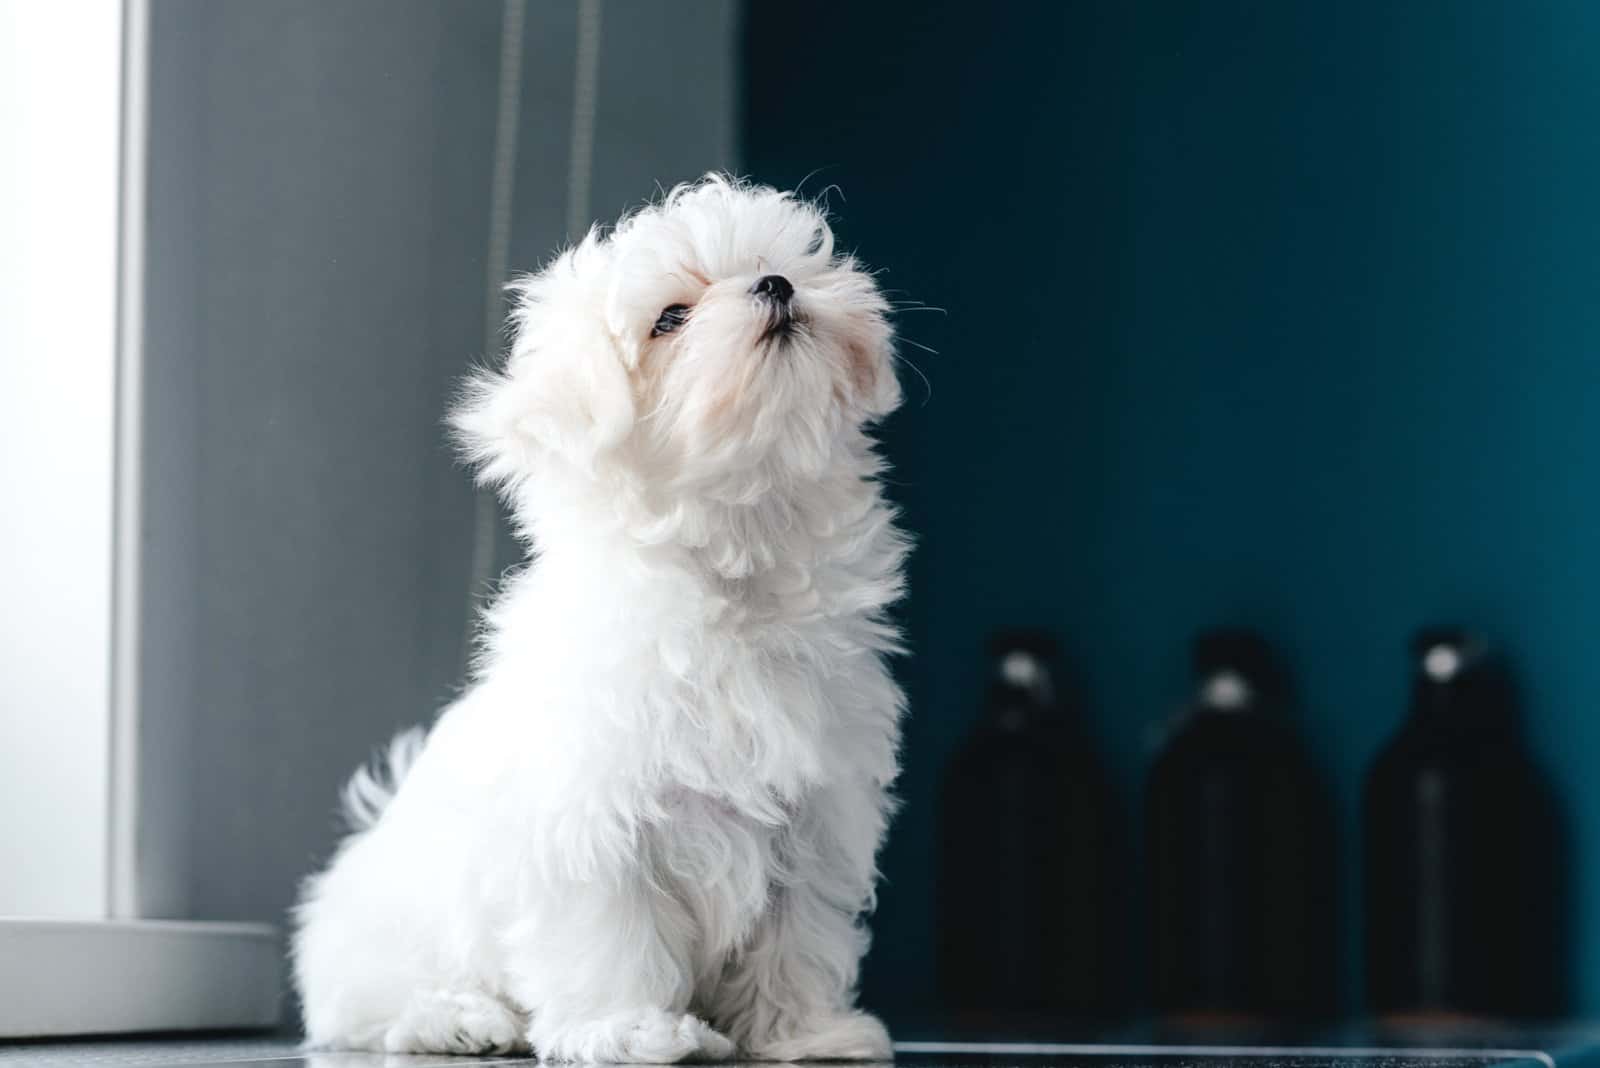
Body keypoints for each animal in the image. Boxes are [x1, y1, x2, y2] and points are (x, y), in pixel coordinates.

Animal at [292, 175, 908, 1061]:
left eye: (781, 263)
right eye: (670, 318)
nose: (776, 286)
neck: (738, 561)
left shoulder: (815, 814)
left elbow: (798, 934)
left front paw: (805, 1031)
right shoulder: (592, 817)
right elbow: (610, 934)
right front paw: (635, 1030)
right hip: (388, 939)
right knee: (368, 1010)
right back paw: (461, 1020)